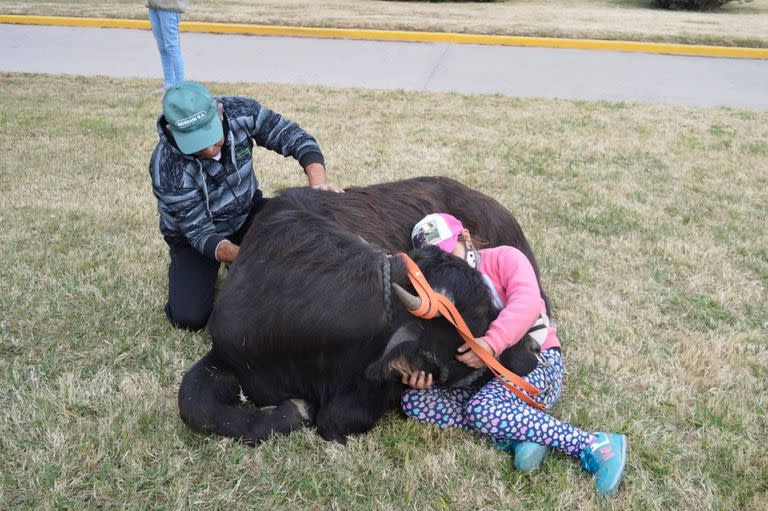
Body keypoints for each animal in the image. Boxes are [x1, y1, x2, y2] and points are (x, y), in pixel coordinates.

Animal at [179, 176, 544, 444]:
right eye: (480, 316)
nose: (532, 347)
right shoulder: (225, 350)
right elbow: (194, 404)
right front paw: (296, 409)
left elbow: (333, 420)